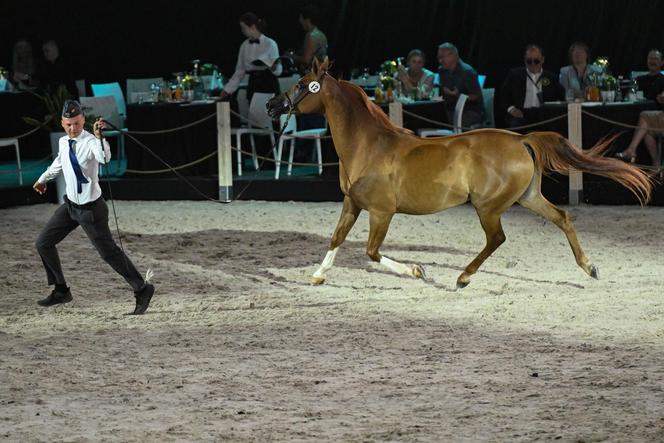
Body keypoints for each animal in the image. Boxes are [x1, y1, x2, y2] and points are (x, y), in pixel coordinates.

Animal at [268, 58, 652, 288]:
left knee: (497, 239)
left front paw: (417, 270)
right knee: (562, 217)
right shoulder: (352, 202)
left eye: (302, 84)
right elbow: (336, 238)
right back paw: (589, 267)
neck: (367, 146)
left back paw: (464, 278)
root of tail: (522, 139)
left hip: (489, 206)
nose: (272, 105)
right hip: (527, 197)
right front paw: (318, 275)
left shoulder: (381, 211)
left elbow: (372, 252)